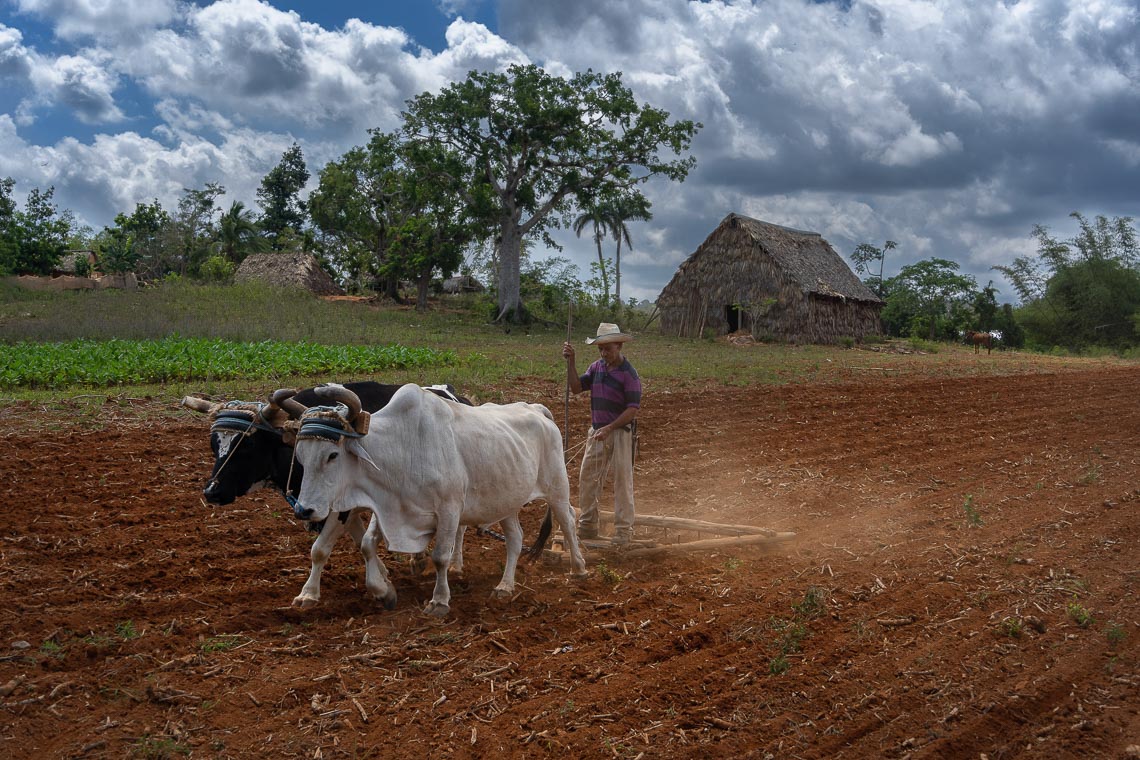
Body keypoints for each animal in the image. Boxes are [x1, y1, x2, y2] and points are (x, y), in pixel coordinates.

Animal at [184, 382, 469, 610]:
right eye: (213, 444)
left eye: (247, 445)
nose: (212, 491)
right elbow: (360, 541)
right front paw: (384, 577)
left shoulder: (339, 508)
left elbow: (320, 549)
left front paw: (309, 594)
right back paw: (418, 560)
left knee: (459, 528)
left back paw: (455, 565)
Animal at [285, 382, 588, 615]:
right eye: (299, 456)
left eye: (332, 455)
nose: (304, 510)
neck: (402, 448)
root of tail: (536, 409)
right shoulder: (387, 507)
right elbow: (367, 545)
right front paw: (384, 591)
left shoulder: (449, 510)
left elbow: (441, 556)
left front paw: (439, 601)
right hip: (507, 502)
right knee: (515, 539)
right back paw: (504, 586)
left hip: (557, 487)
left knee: (568, 520)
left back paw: (579, 569)